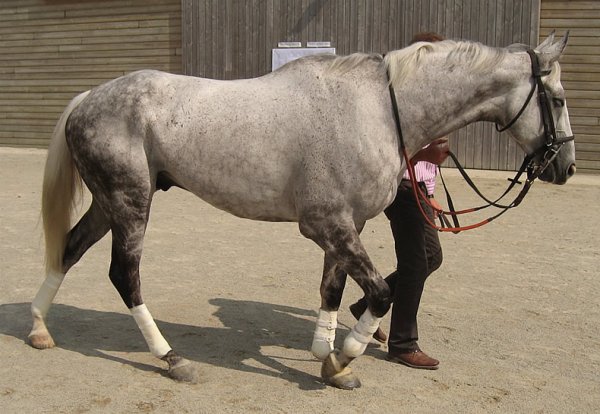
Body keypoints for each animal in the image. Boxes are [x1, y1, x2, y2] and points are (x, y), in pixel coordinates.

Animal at [30, 34, 576, 390]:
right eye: (556, 98)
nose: (566, 166)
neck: (379, 108)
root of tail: (89, 98)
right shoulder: (325, 225)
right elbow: (379, 293)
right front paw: (345, 357)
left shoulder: (346, 226)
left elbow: (332, 291)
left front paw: (327, 358)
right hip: (131, 203)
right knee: (125, 275)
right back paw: (172, 359)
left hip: (109, 204)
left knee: (68, 250)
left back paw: (39, 329)